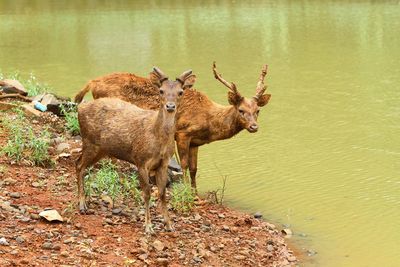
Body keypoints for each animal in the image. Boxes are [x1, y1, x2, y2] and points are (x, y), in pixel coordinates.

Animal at [73, 61, 270, 194]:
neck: (208, 121)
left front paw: (195, 192)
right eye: (241, 110)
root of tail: (92, 82)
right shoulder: (183, 133)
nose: (254, 126)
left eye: (257, 110)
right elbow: (183, 165)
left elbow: (194, 168)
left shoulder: (196, 142)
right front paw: (186, 191)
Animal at [76, 69, 195, 234]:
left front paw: (169, 224)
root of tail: (80, 108)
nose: (170, 106)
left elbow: (162, 193)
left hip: (100, 149)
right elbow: (147, 194)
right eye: (161, 91)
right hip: (89, 142)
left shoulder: (163, 163)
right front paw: (148, 227)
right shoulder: (141, 160)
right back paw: (82, 205)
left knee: (79, 163)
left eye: (180, 92)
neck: (159, 141)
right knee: (79, 165)